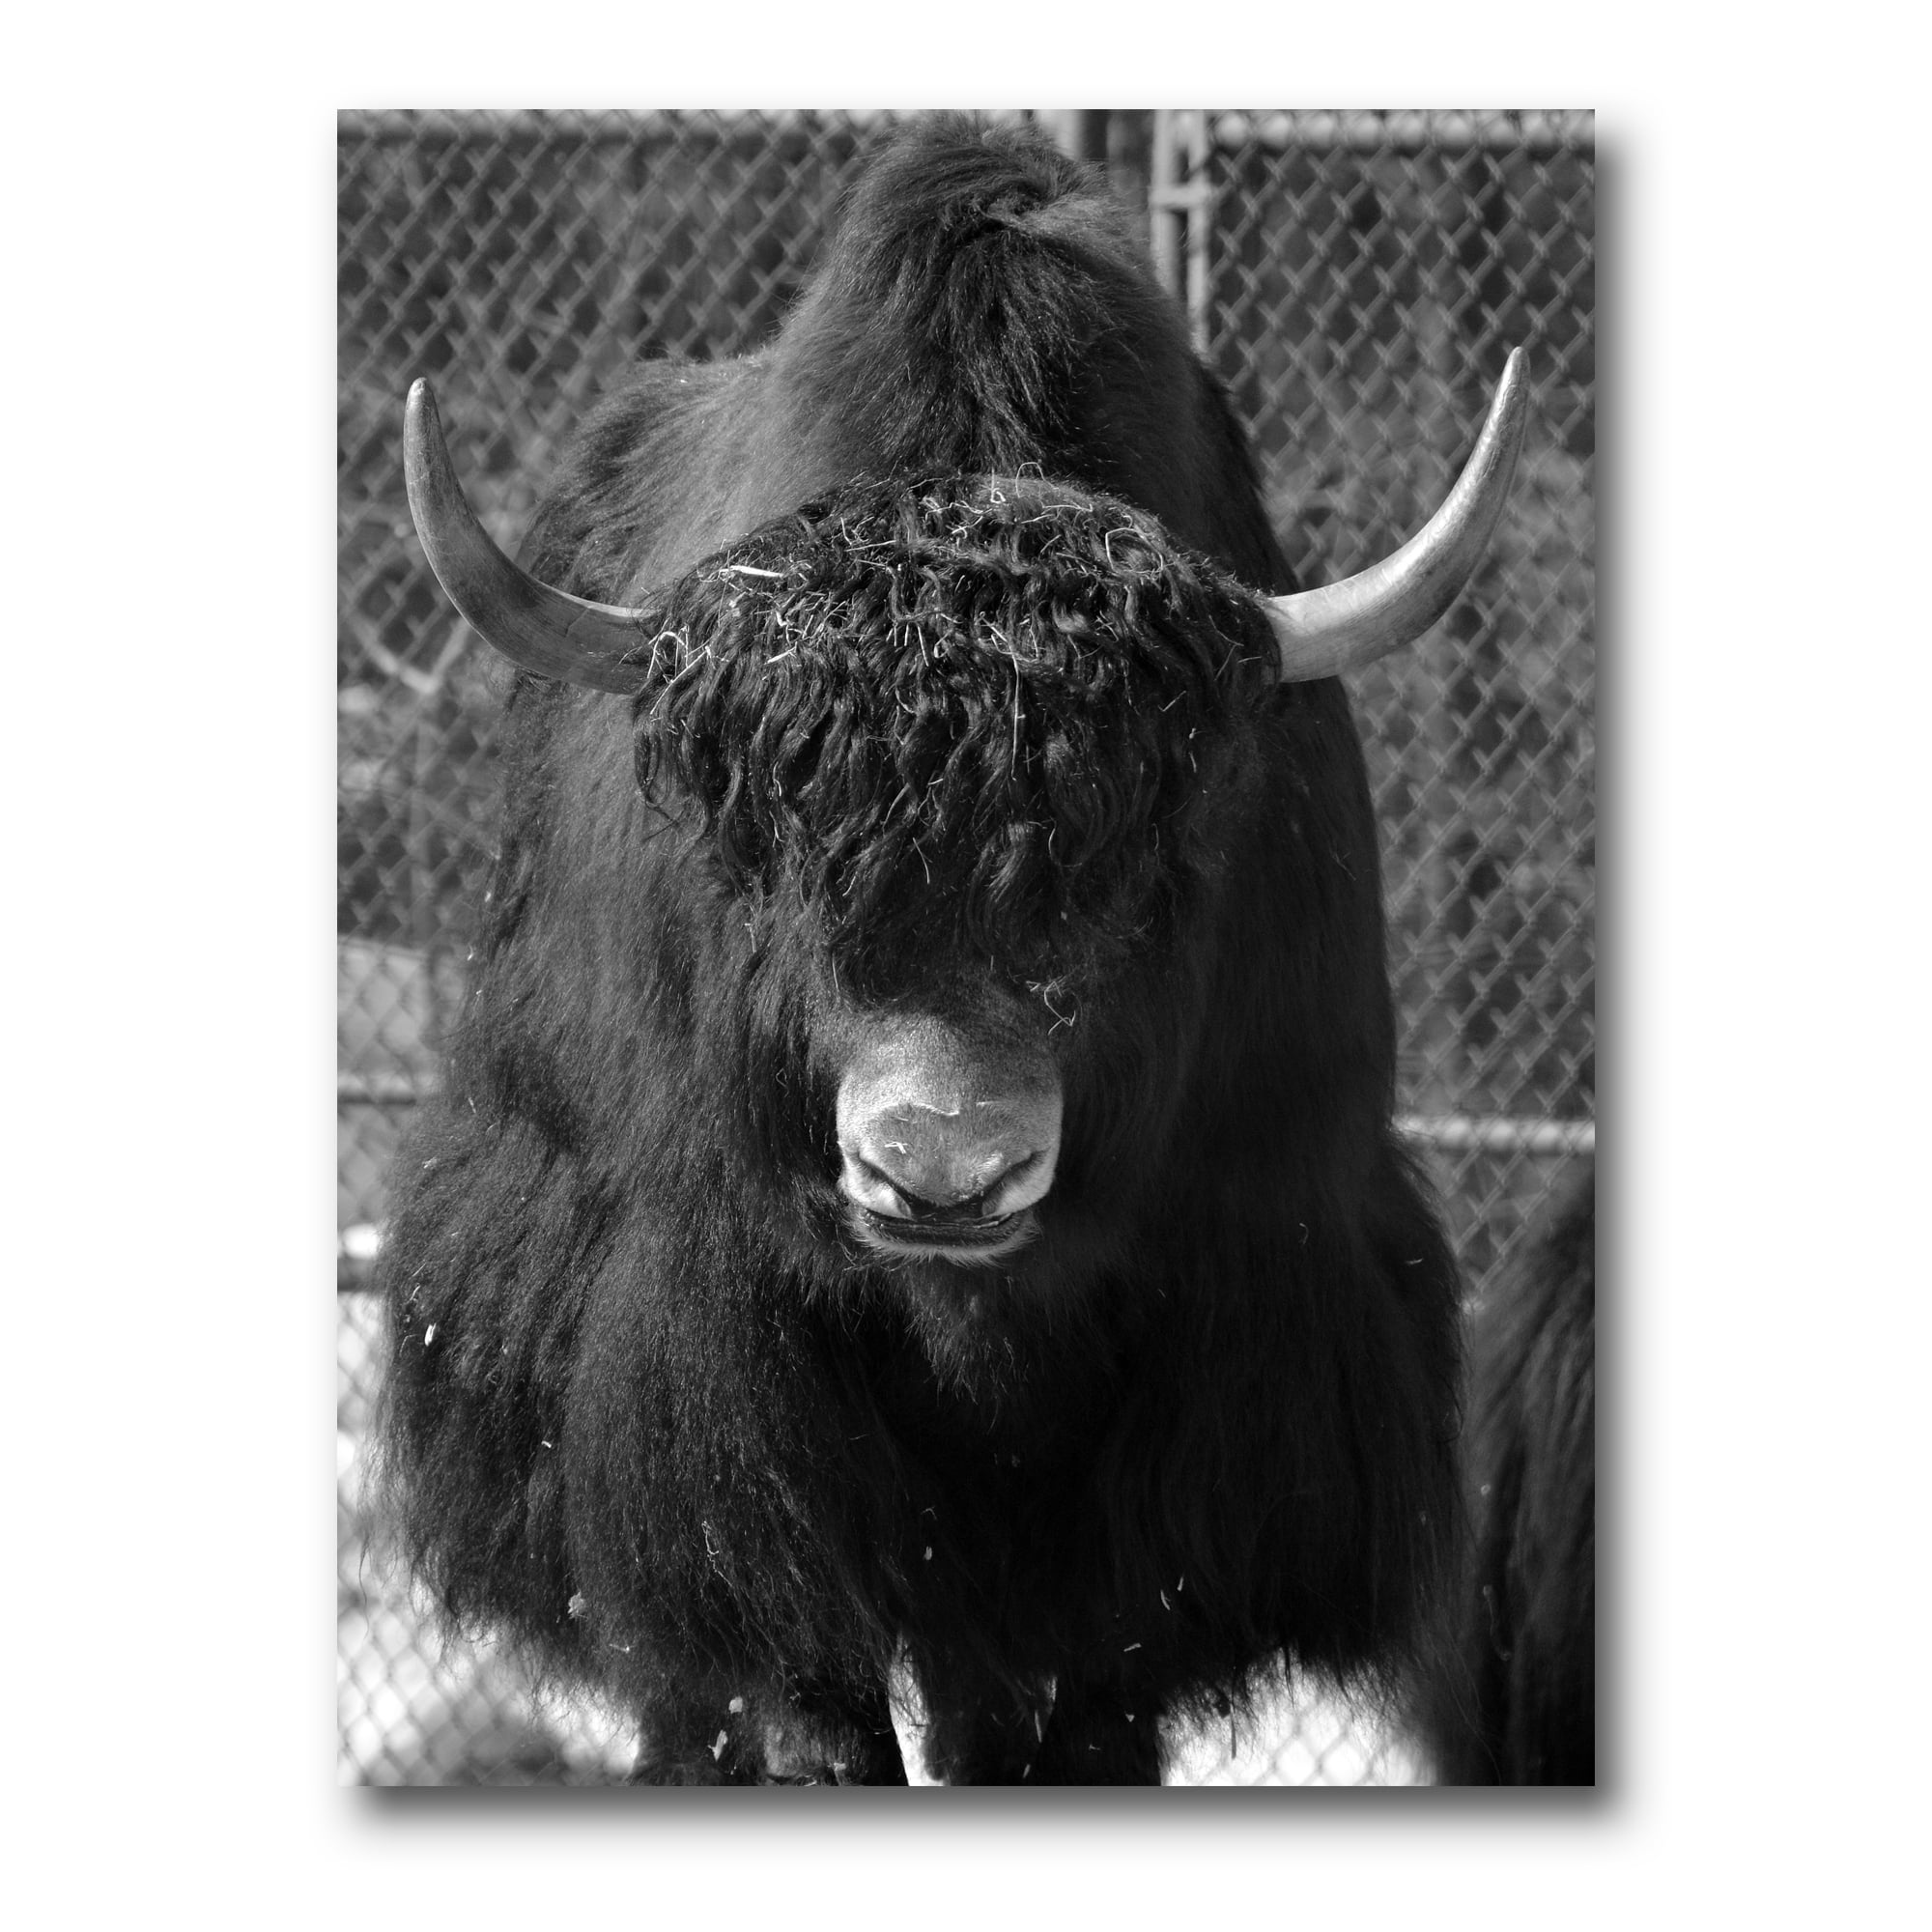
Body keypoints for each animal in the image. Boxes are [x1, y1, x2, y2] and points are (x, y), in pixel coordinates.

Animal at [375, 114, 1527, 1784]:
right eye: (776, 858)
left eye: (1139, 868)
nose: (941, 1171)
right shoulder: (720, 1399)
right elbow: (797, 1688)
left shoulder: (1219, 1375)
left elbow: (1080, 1709)